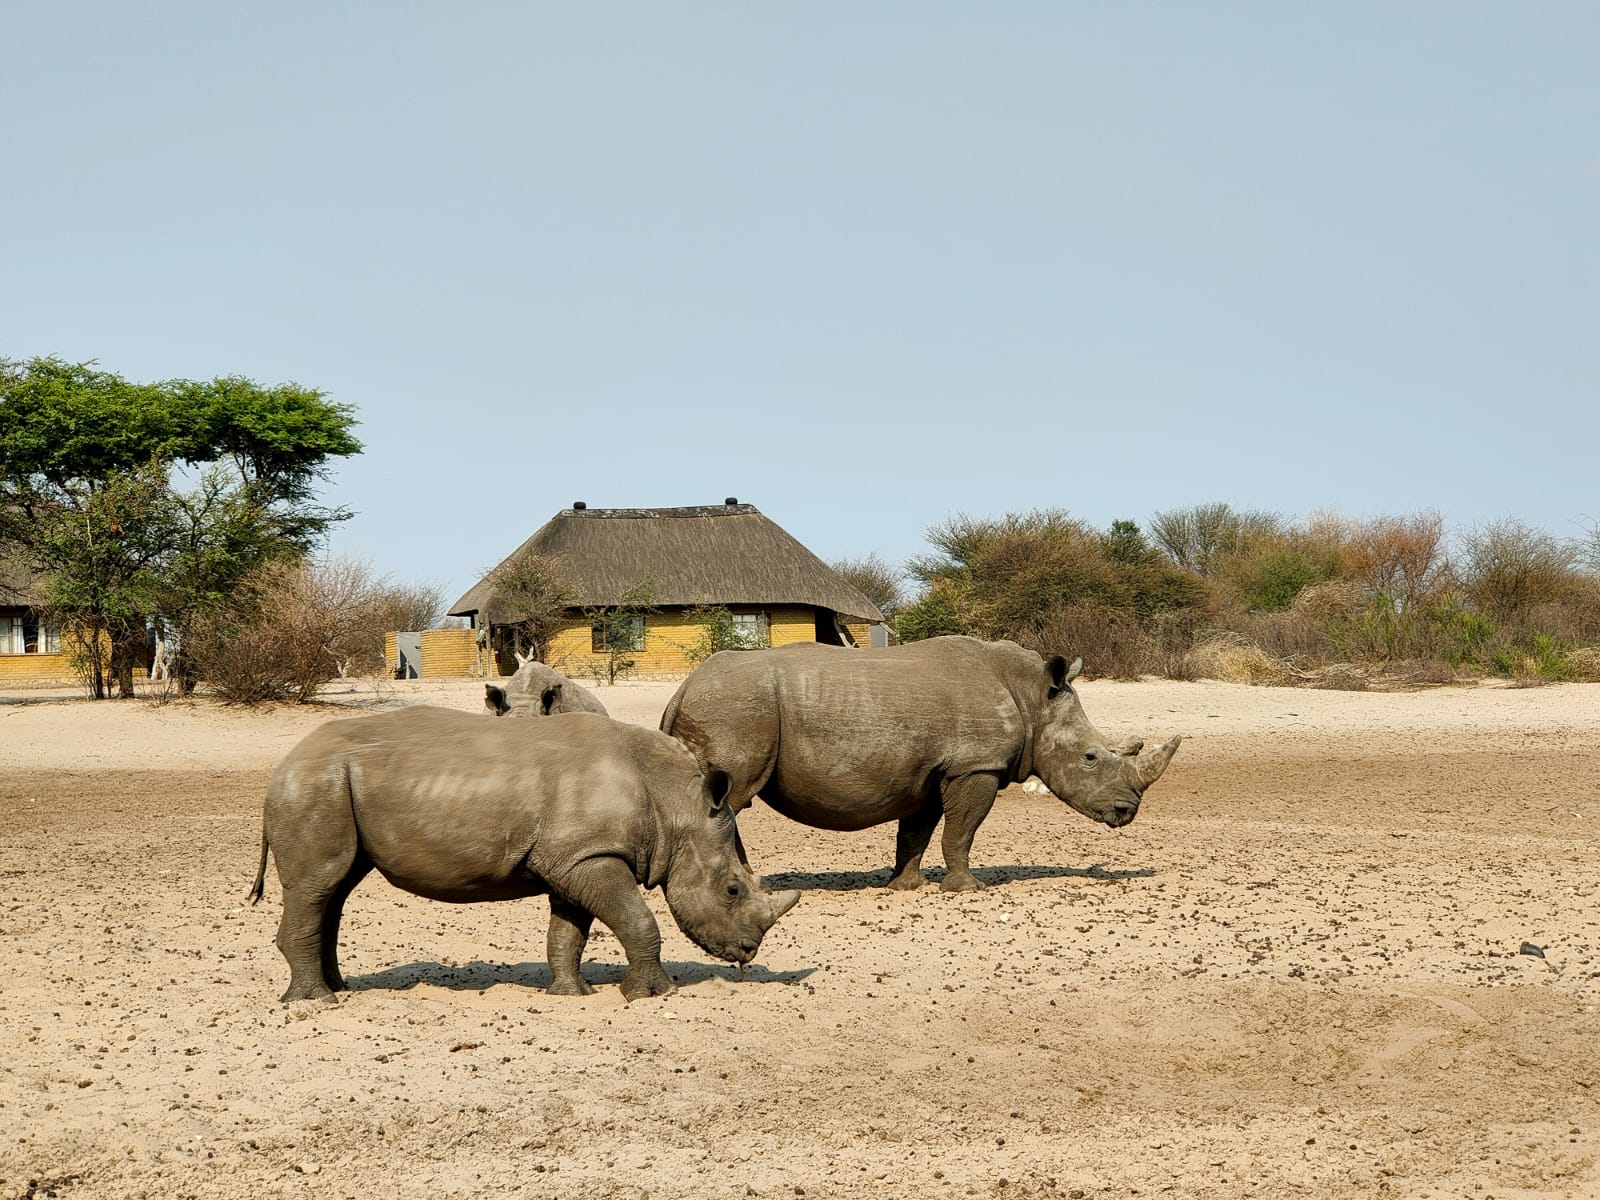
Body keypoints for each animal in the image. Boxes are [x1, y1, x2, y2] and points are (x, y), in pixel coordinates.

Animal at [249, 707, 799, 1002]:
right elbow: (638, 920)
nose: (748, 953)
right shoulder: (591, 857)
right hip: (315, 785)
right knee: (319, 885)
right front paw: (655, 994)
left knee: (335, 890)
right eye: (732, 889)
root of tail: (284, 764)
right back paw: (315, 1002)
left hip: (328, 786)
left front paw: (572, 994)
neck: (676, 805)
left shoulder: (576, 857)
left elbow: (569, 932)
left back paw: (339, 989)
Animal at [659, 635, 1182, 892]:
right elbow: (962, 830)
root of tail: (682, 687)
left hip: (726, 706)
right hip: (734, 708)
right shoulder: (975, 765)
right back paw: (746, 885)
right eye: (1090, 758)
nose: (1126, 812)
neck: (1032, 698)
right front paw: (967, 889)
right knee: (729, 798)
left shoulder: (930, 772)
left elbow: (917, 833)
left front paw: (905, 886)